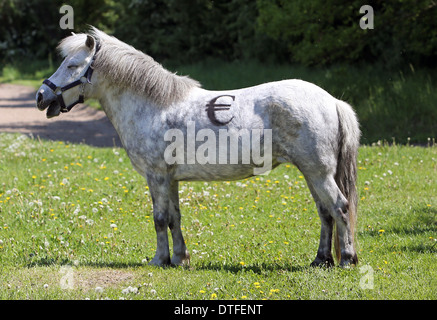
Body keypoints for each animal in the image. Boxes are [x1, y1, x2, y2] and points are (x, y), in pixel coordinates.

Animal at [35, 28, 360, 268]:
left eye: (72, 65)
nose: (40, 96)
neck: (154, 105)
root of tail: (332, 100)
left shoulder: (156, 177)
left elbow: (159, 219)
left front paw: (159, 260)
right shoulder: (170, 179)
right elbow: (174, 218)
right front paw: (180, 259)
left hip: (317, 173)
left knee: (340, 207)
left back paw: (346, 259)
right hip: (312, 173)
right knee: (325, 212)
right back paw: (321, 260)